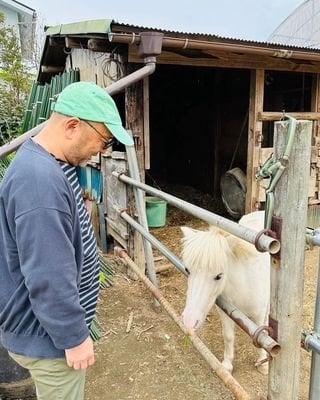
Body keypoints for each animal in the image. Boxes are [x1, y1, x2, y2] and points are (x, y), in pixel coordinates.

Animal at [181, 211, 268, 374]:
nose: (189, 323)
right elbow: (228, 336)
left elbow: (262, 335)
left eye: (219, 276)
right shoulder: (226, 310)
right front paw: (227, 366)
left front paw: (263, 364)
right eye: (187, 270)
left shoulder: (259, 312)